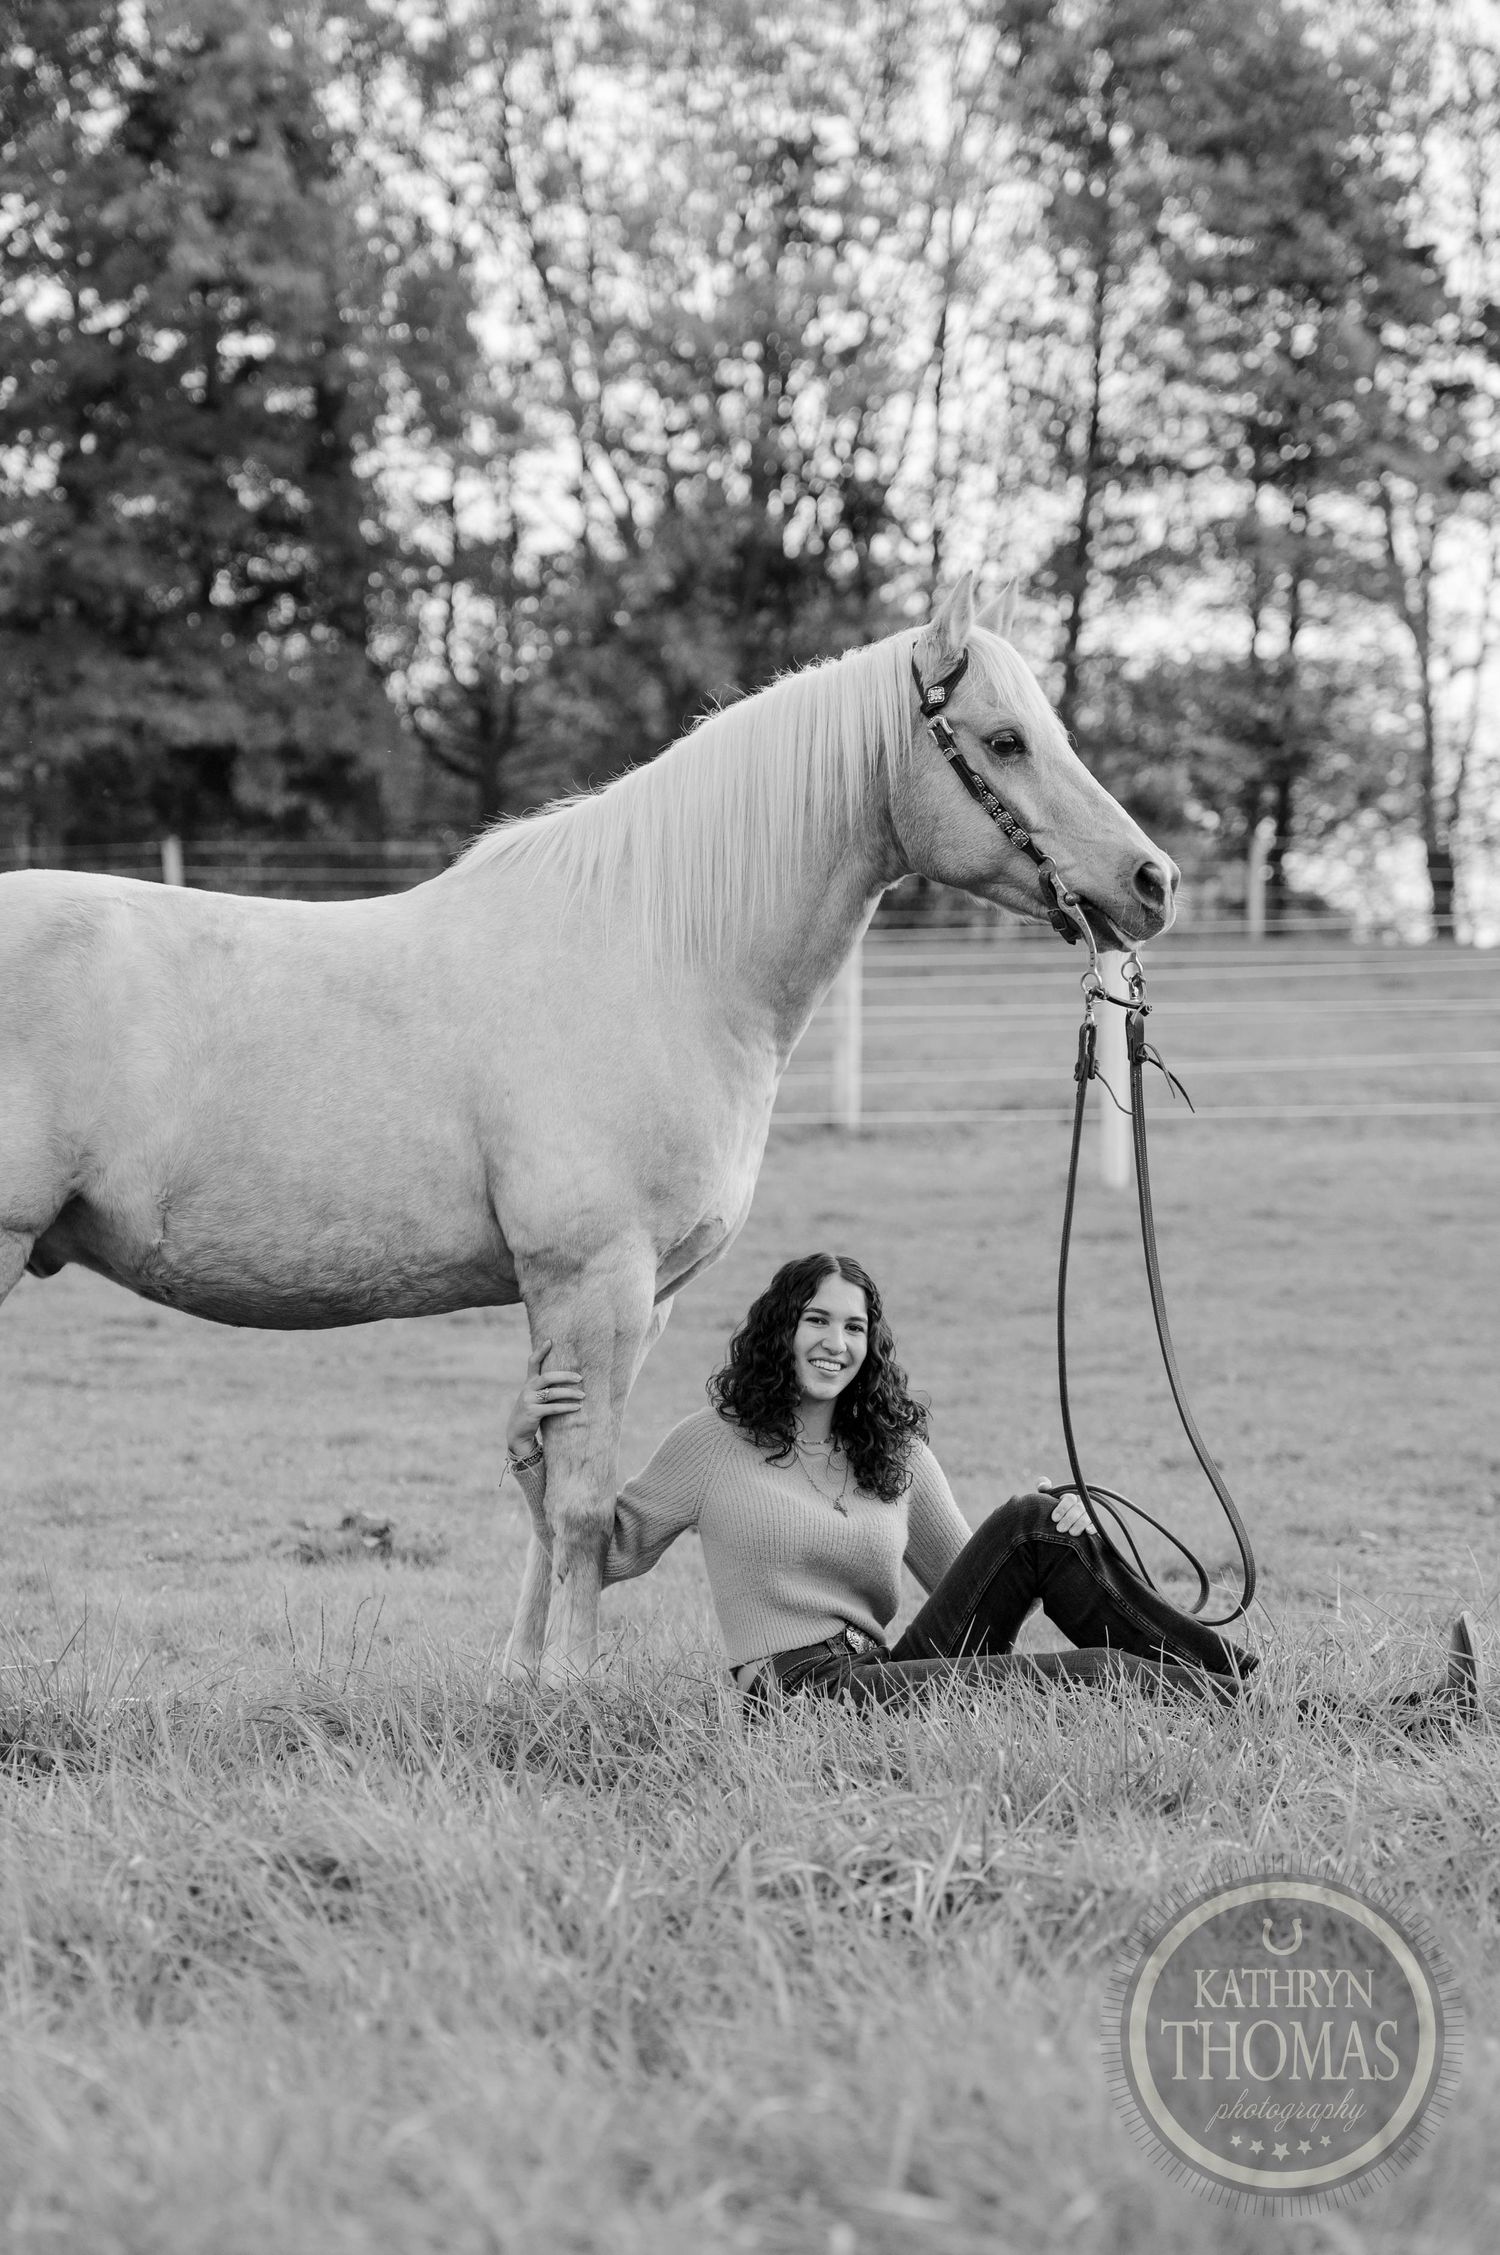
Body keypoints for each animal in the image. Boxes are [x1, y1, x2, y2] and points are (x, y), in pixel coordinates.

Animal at [0, 575, 1177, 1683]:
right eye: (1005, 738)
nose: (1153, 880)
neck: (657, 957)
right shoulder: (592, 1278)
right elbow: (576, 1503)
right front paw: (571, 1684)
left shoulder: (635, 1301)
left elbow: (563, 1495)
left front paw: (522, 1680)